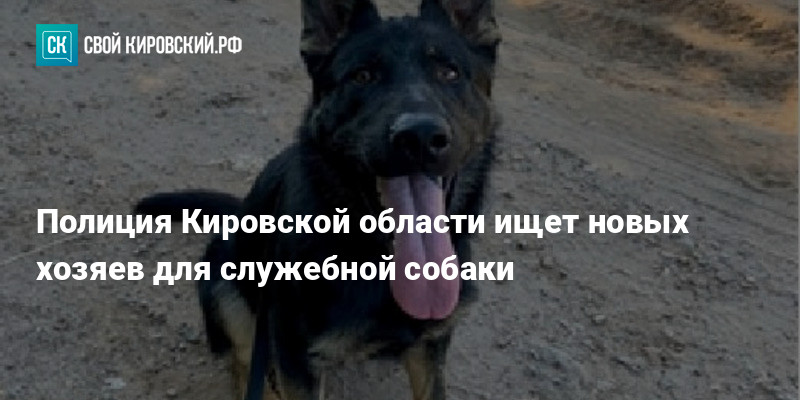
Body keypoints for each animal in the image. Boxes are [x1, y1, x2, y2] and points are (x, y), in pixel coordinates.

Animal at [135, 0, 500, 399]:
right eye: (362, 76)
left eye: (449, 72)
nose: (418, 137)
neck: (378, 262)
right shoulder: (295, 354)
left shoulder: (430, 347)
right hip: (228, 293)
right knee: (242, 365)